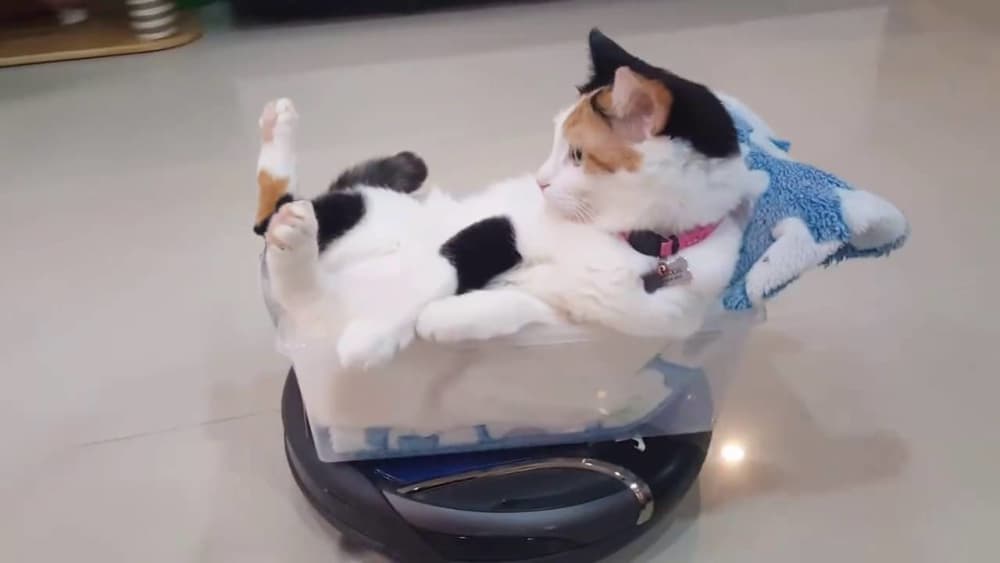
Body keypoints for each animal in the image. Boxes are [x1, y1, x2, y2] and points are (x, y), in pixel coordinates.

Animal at [258, 30, 756, 372]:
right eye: (556, 143)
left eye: (578, 155)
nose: (540, 182)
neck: (632, 239)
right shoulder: (505, 224)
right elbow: (442, 266)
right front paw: (375, 334)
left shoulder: (610, 315)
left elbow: (527, 306)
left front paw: (447, 318)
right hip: (358, 210)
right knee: (270, 216)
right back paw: (277, 136)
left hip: (329, 278)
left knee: (296, 275)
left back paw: (295, 237)